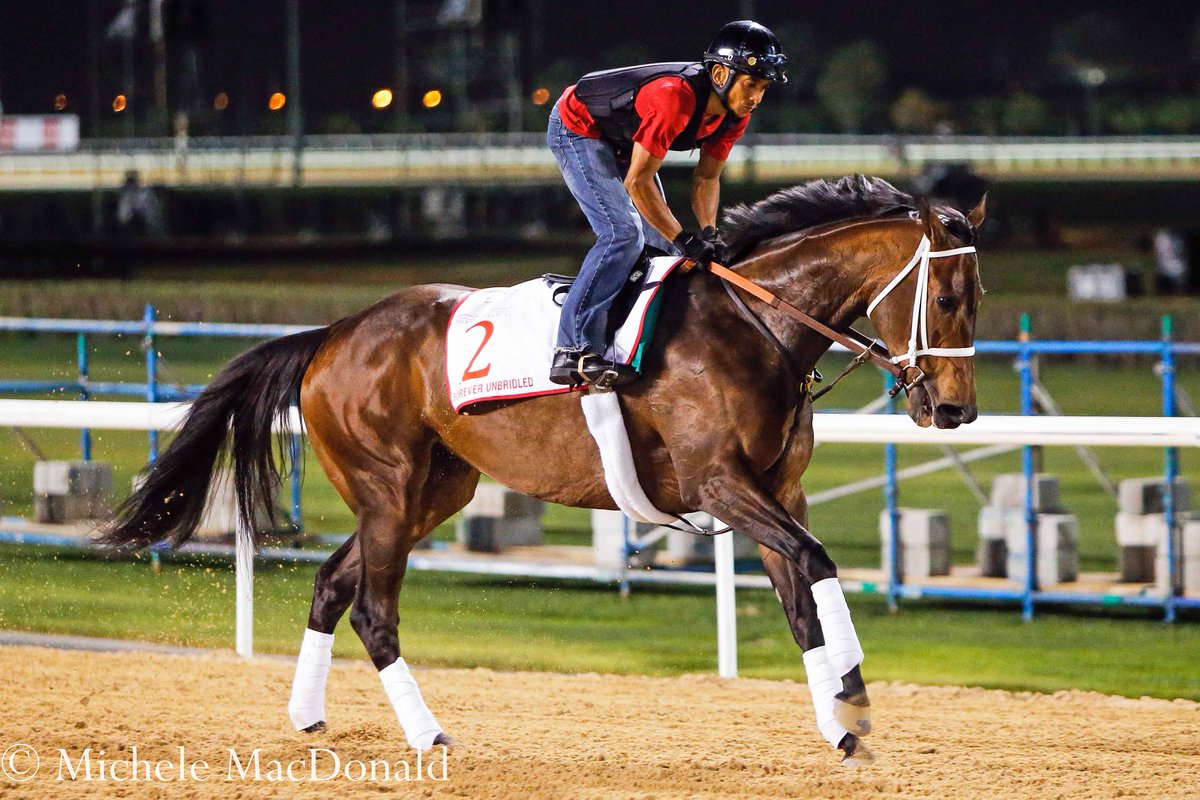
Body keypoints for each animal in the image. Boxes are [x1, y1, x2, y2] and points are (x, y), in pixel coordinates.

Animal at [103, 174, 985, 766]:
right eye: (946, 297)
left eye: (975, 297)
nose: (954, 411)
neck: (753, 322)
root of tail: (331, 334)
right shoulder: (721, 485)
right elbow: (819, 559)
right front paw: (856, 703)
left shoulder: (776, 489)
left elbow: (803, 602)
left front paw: (841, 722)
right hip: (386, 487)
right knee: (374, 612)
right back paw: (427, 735)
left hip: (434, 491)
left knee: (330, 583)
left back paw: (309, 717)